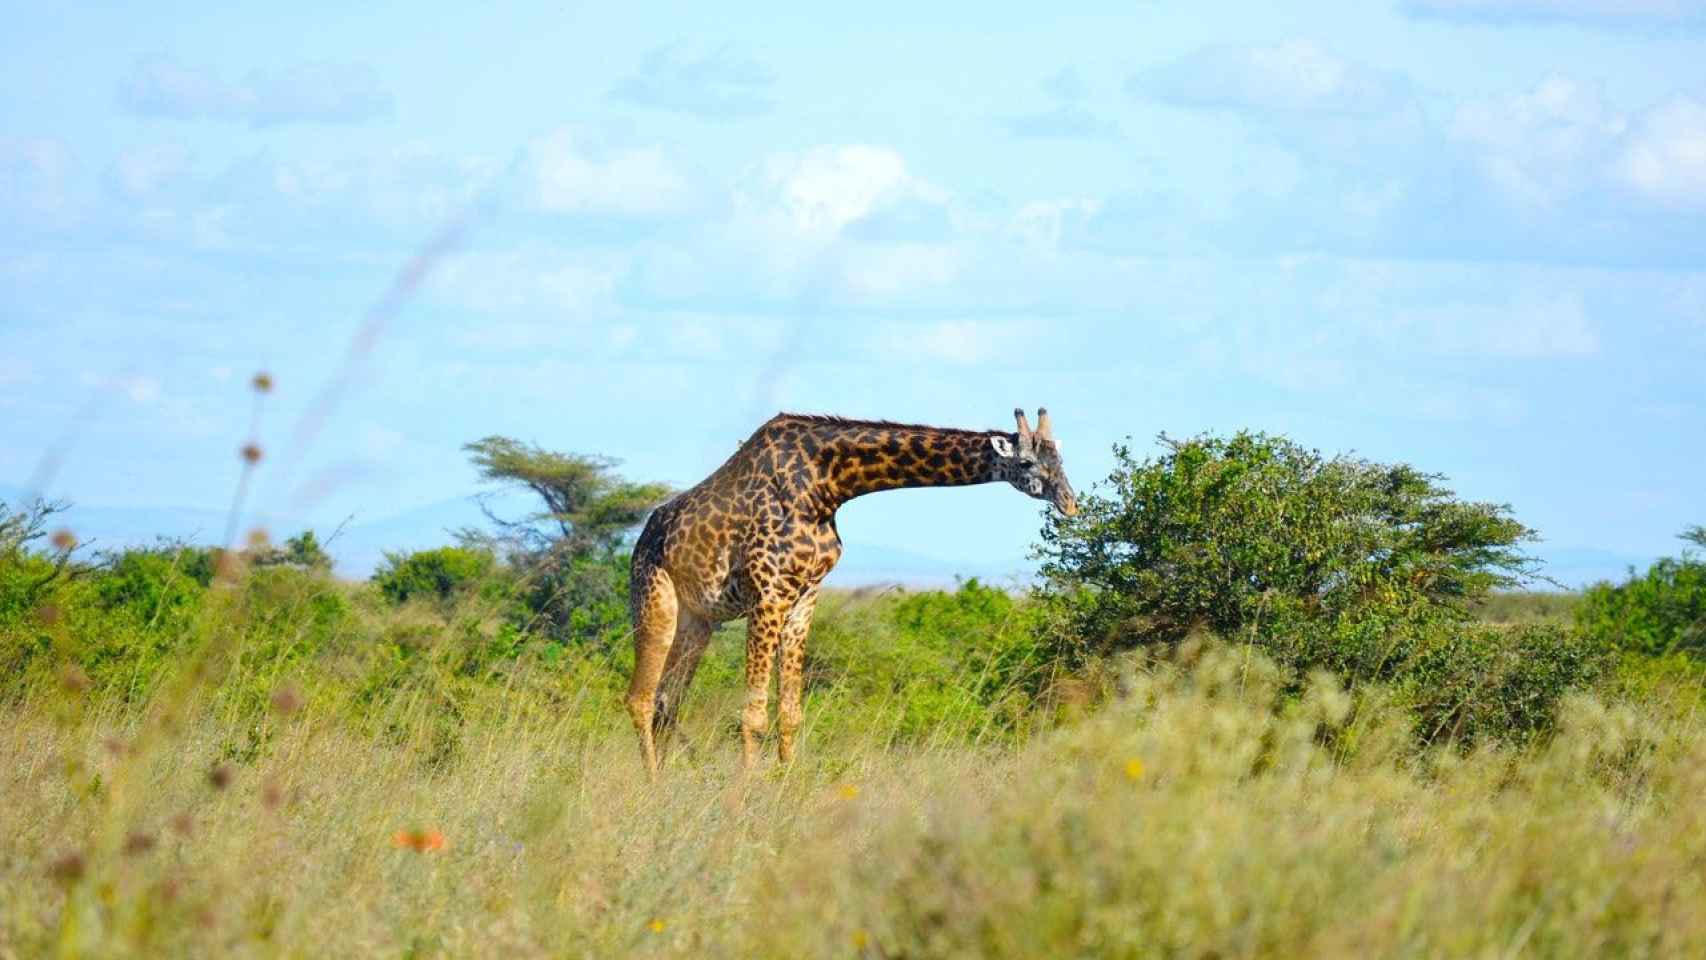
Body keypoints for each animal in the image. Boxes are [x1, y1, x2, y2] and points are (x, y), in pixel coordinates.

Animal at [627, 409, 1078, 777]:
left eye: (1061, 460)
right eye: (1026, 462)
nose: (1070, 503)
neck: (827, 485)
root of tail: (644, 537)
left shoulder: (805, 596)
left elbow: (790, 713)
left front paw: (785, 790)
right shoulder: (768, 593)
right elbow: (753, 714)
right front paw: (742, 804)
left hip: (699, 620)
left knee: (667, 702)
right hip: (655, 600)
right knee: (640, 699)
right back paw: (653, 787)